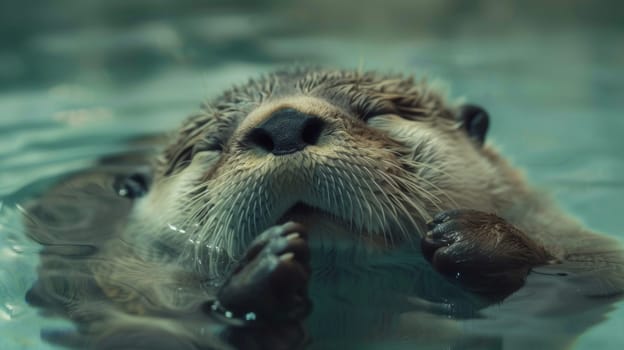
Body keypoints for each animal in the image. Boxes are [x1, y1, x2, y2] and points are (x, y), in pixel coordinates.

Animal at [24, 68, 624, 350]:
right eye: (212, 147)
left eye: (375, 113)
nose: (285, 124)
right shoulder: (116, 285)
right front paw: (261, 279)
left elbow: (589, 279)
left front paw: (474, 239)